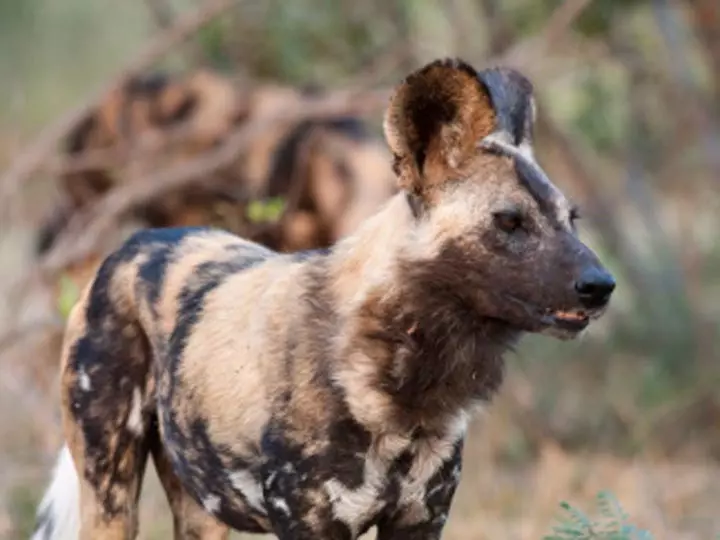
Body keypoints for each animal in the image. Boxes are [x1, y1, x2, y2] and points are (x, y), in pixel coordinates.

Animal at [32, 59, 612, 540]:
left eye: (571, 219)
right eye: (510, 222)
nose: (601, 285)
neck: (405, 384)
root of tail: (132, 245)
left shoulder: (421, 519)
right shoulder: (311, 523)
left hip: (203, 510)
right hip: (109, 496)